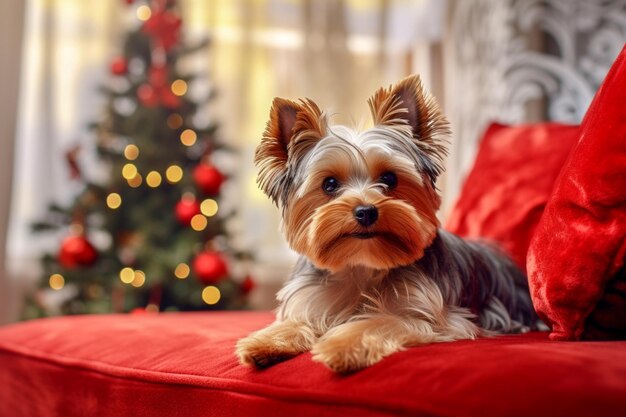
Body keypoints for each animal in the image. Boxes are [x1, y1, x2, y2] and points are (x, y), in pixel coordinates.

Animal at [236, 74, 532, 370]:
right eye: (329, 184)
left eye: (390, 178)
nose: (366, 211)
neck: (362, 265)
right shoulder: (311, 300)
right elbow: (296, 320)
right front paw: (264, 341)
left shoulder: (434, 315)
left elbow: (377, 321)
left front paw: (340, 346)